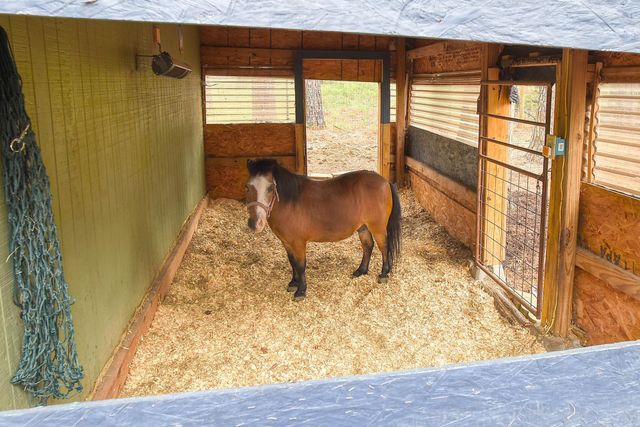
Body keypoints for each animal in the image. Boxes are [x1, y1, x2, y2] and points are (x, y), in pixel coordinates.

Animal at [244, 158, 401, 301]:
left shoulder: (298, 243)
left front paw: (301, 291)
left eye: (270, 188)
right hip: (363, 227)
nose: (255, 223)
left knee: (384, 247)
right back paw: (361, 270)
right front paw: (293, 283)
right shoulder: (286, 242)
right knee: (368, 246)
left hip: (378, 228)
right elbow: (292, 262)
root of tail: (385, 182)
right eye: (247, 187)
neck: (290, 203)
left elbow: (300, 265)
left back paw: (384, 274)